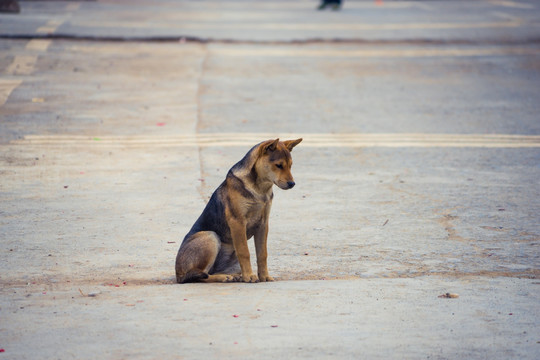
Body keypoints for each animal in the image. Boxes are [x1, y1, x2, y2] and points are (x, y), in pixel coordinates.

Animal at [175, 139, 302, 284]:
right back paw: (224, 277)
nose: (292, 184)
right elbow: (244, 252)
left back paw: (234, 276)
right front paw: (250, 276)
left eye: (291, 165)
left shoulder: (263, 224)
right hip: (210, 236)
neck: (260, 188)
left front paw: (264, 276)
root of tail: (178, 275)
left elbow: (262, 254)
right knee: (201, 276)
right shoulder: (238, 222)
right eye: (278, 165)